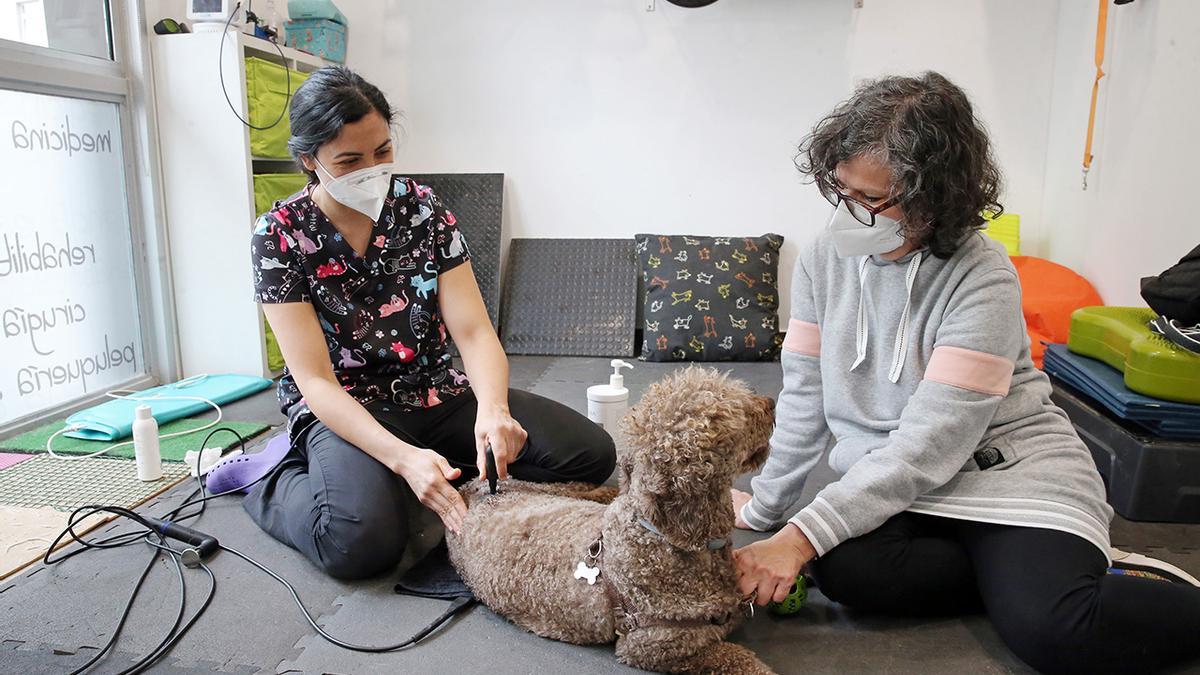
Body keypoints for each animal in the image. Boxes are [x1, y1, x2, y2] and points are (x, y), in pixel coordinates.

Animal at [448, 367, 777, 672]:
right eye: (730, 415)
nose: (771, 403)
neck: (659, 538)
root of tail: (475, 491)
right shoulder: (656, 646)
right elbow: (741, 661)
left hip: (543, 488)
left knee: (579, 487)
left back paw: (606, 495)